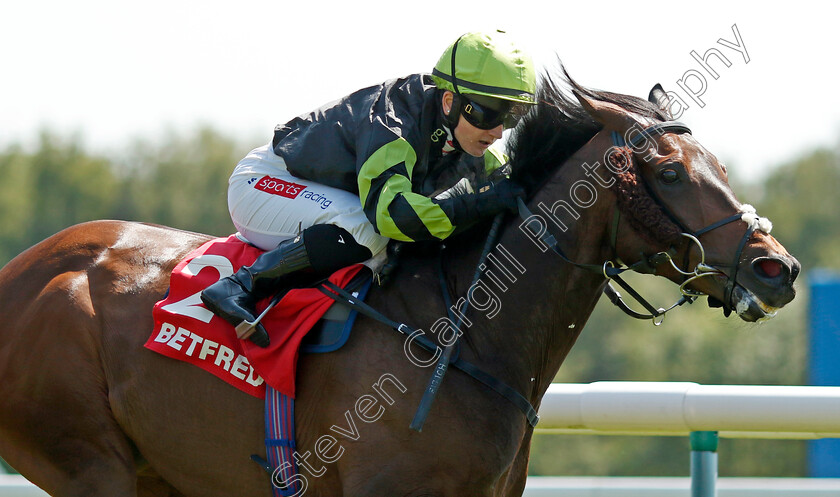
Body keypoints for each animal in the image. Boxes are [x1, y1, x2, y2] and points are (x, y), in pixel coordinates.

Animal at [0, 74, 800, 496]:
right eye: (669, 172)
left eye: (720, 167)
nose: (778, 268)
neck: (459, 332)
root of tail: (26, 270)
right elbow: (384, 209)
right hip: (89, 460)